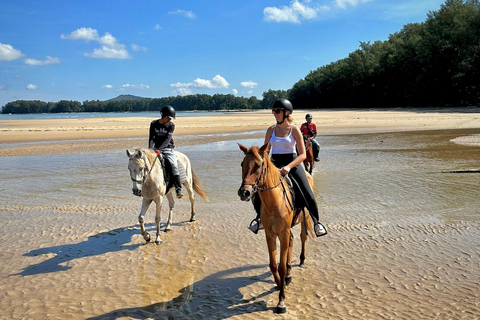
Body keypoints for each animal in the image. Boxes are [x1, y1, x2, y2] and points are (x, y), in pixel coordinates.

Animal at [237, 142, 314, 312]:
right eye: (242, 164)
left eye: (258, 165)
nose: (244, 192)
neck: (274, 202)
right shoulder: (270, 234)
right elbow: (273, 265)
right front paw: (280, 285)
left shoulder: (282, 233)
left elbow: (281, 267)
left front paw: (281, 301)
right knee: (292, 241)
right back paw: (289, 275)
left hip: (304, 219)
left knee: (302, 237)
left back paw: (302, 260)